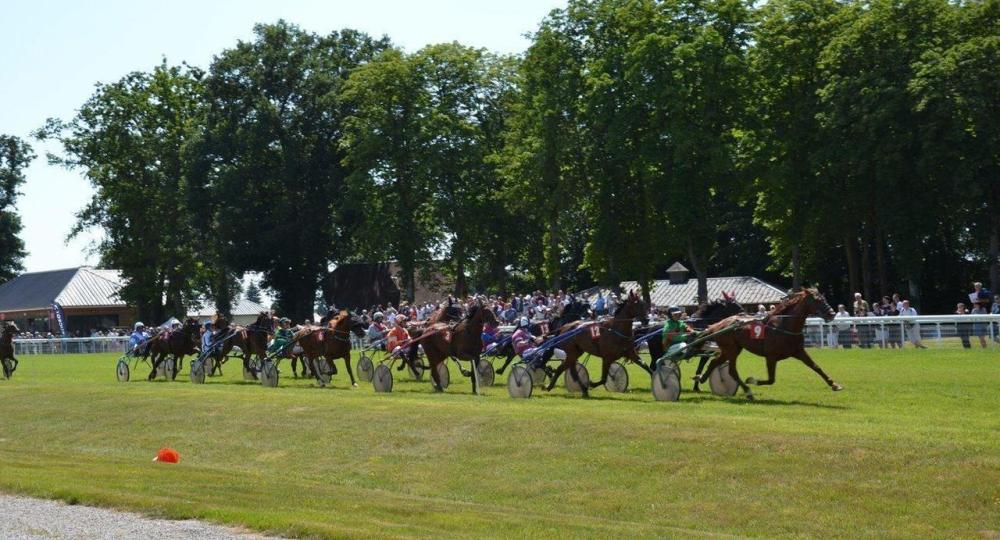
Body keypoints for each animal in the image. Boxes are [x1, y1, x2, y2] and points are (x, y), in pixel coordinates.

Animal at [696, 286, 844, 400]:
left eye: (824, 299)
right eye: (817, 300)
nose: (832, 314)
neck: (784, 326)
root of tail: (717, 325)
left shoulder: (798, 351)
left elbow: (816, 367)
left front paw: (834, 384)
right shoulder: (771, 357)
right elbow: (771, 379)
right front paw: (752, 380)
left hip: (733, 349)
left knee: (716, 363)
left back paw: (702, 378)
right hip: (730, 349)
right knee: (729, 369)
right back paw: (747, 390)